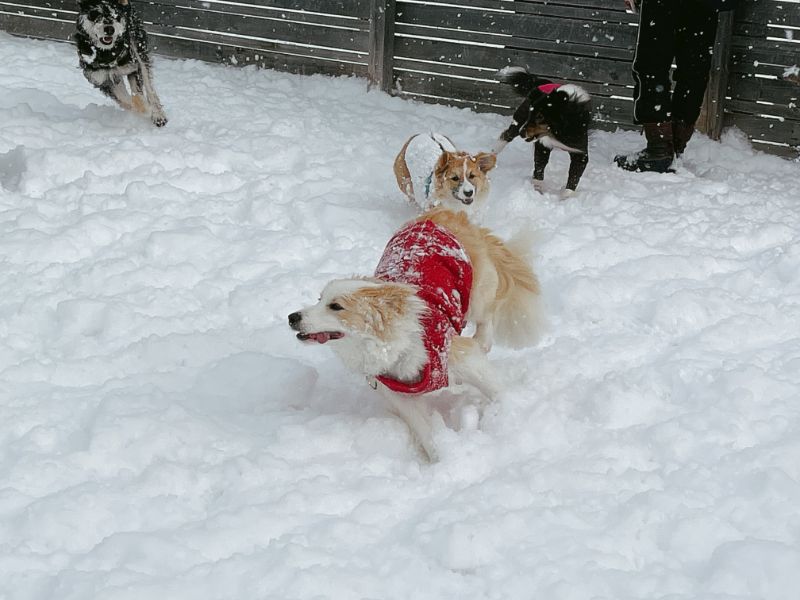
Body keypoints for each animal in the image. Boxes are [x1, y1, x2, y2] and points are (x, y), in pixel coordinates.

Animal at [290, 209, 544, 462]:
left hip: (478, 290)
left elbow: (496, 389)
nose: (292, 317)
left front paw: (509, 414)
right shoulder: (400, 394)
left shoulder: (461, 356)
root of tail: (446, 213)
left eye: (335, 306)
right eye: (319, 299)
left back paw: (482, 340)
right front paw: (441, 459)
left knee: (487, 315)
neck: (395, 345)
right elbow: (425, 431)